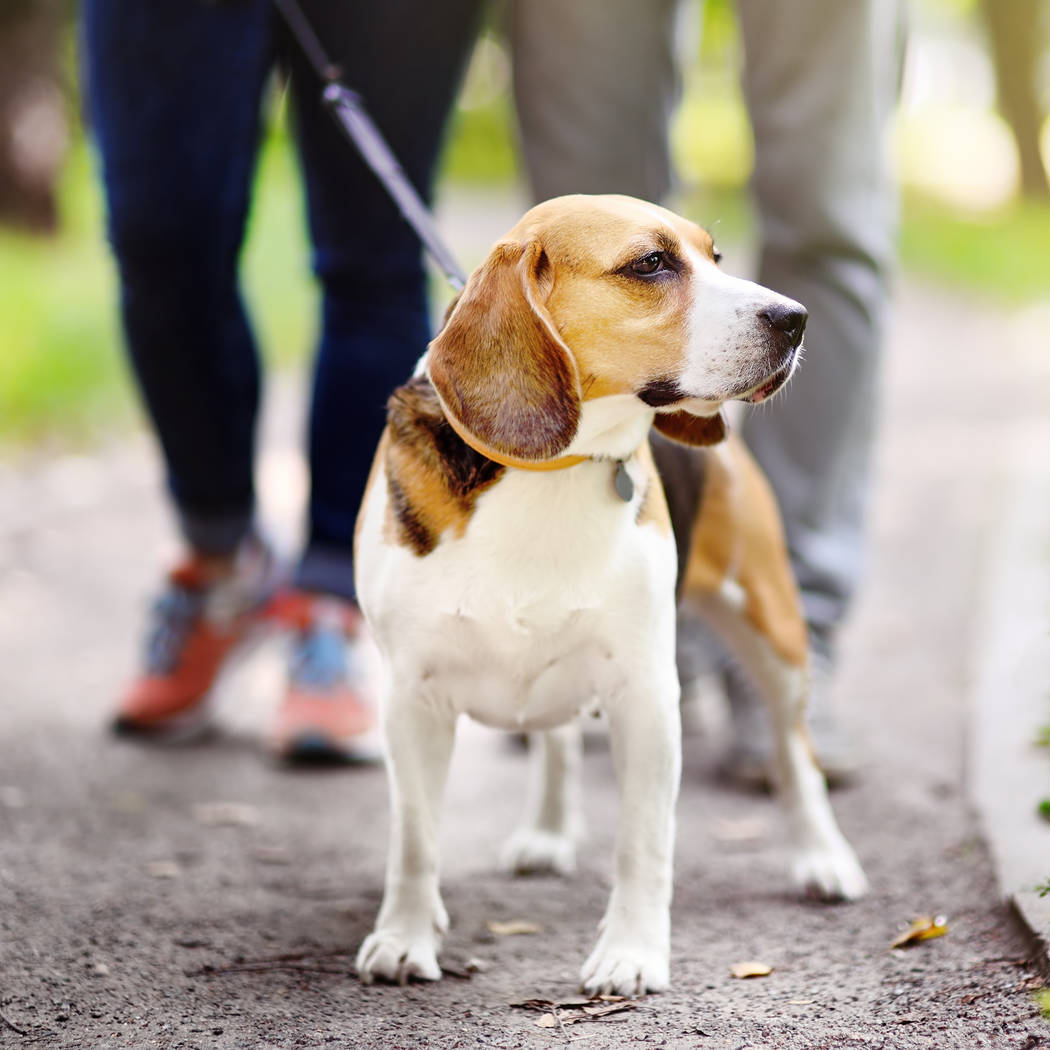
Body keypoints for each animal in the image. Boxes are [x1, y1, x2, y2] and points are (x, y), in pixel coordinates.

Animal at [356, 195, 865, 991]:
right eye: (650, 264)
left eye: (715, 258)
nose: (795, 318)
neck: (549, 469)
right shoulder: (411, 698)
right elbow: (415, 839)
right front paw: (404, 939)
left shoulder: (647, 698)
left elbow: (643, 843)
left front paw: (631, 955)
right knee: (557, 740)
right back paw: (546, 831)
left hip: (774, 634)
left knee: (794, 753)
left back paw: (824, 857)